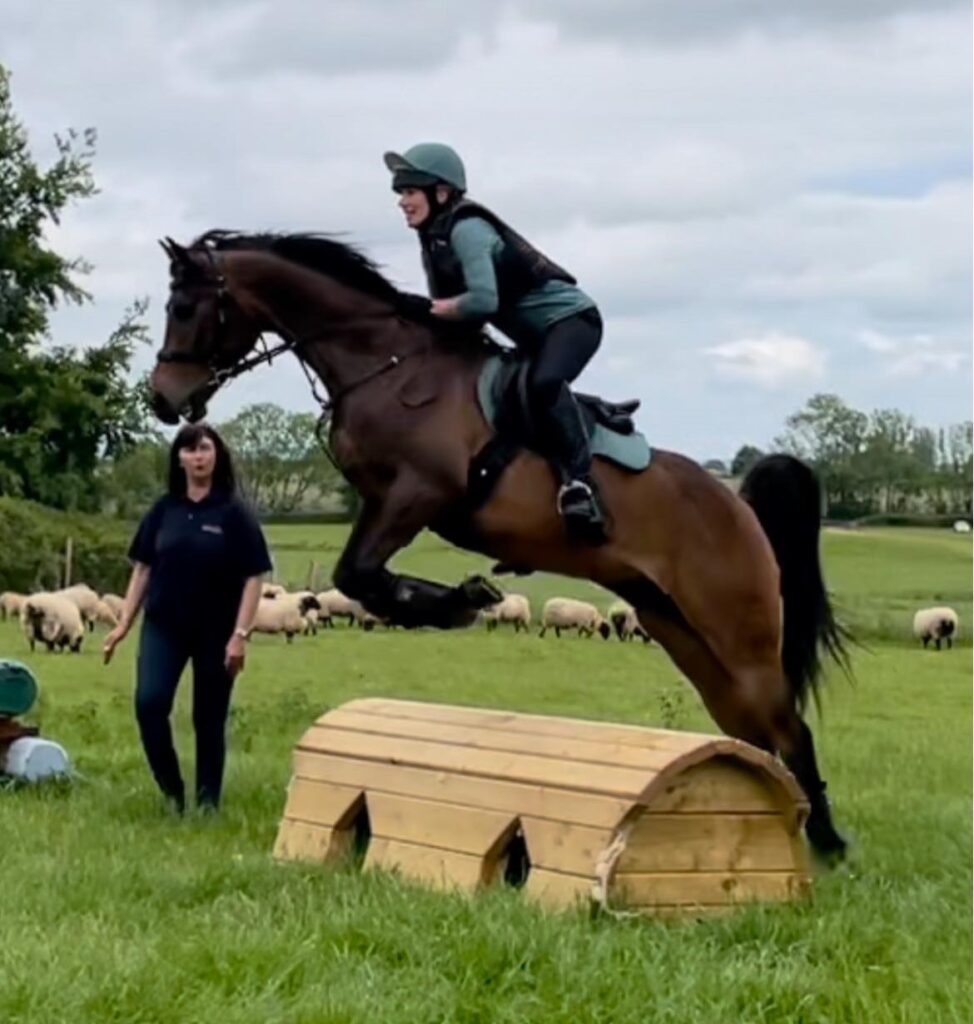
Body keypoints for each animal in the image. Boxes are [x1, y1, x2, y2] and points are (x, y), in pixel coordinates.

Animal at [148, 232, 848, 864]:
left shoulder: (419, 493)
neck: (390, 366)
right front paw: (457, 598)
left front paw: (461, 599)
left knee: (789, 726)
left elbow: (359, 571)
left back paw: (828, 843)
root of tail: (739, 507)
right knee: (753, 732)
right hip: (679, 628)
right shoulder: (381, 500)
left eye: (183, 307)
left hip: (737, 630)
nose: (162, 398)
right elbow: (359, 575)